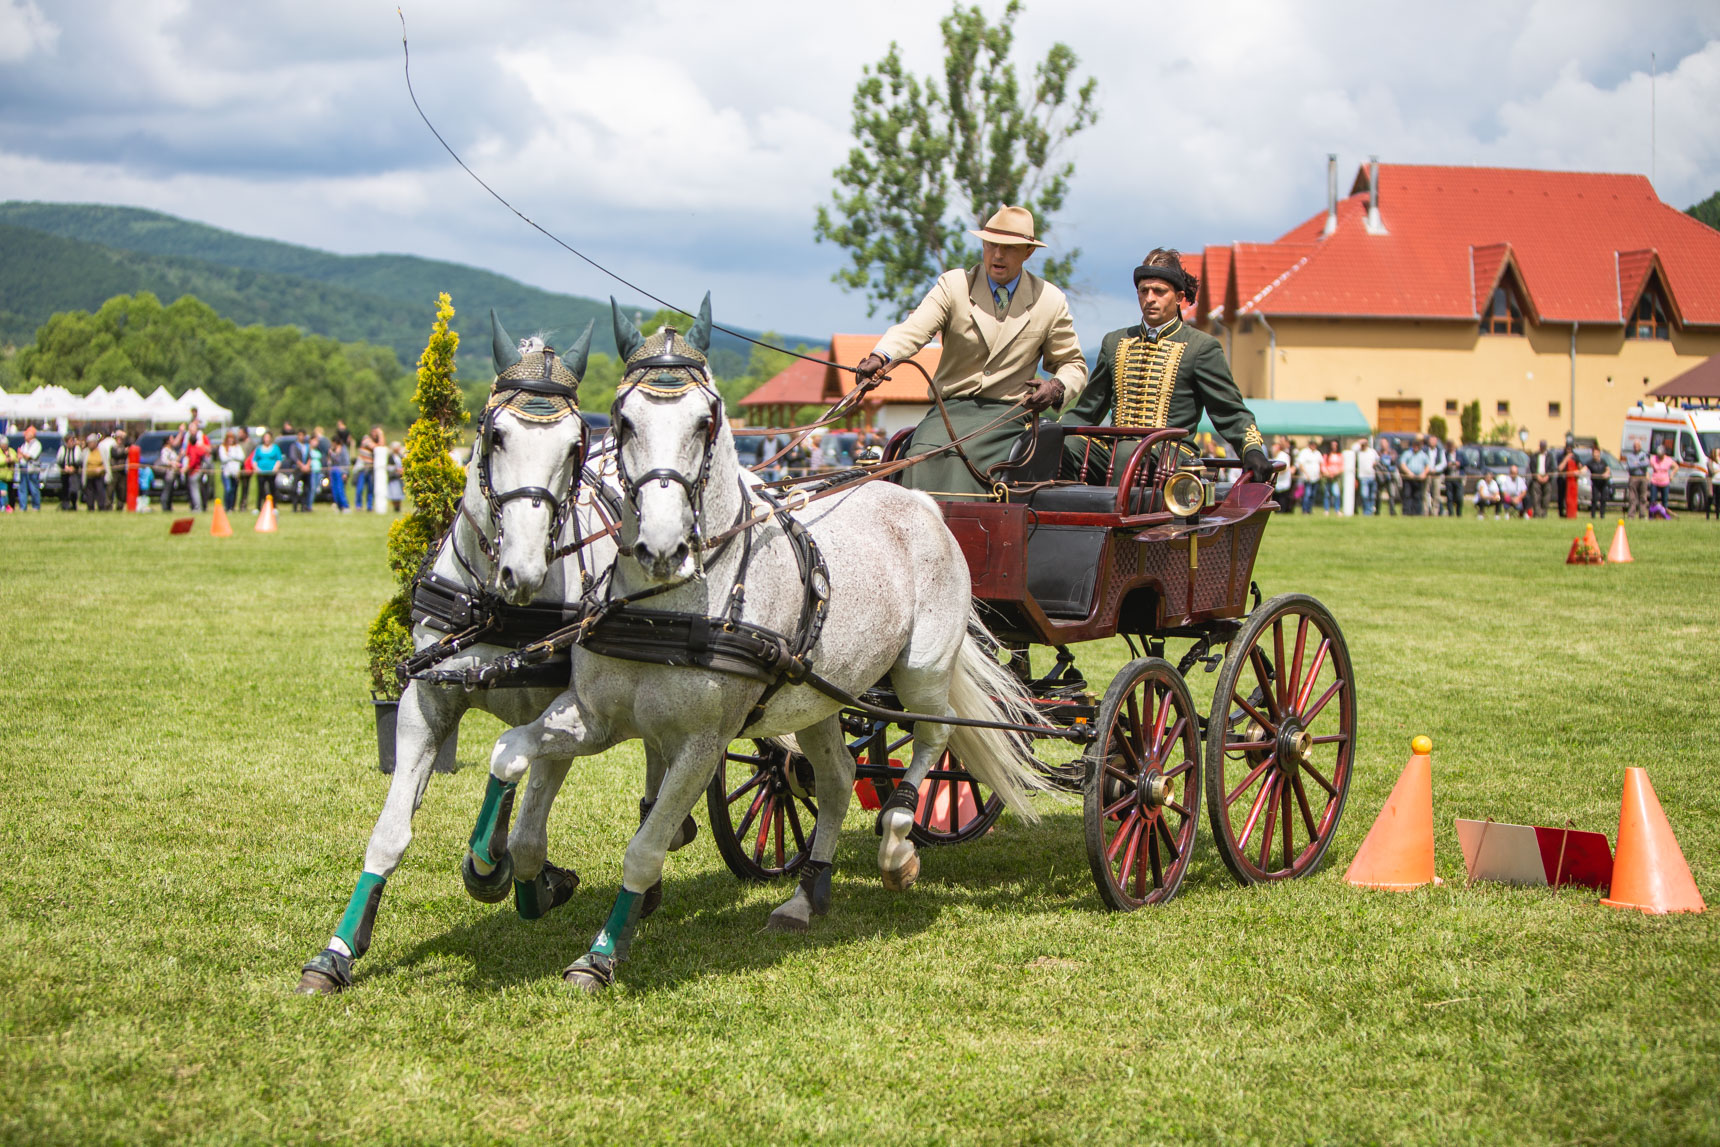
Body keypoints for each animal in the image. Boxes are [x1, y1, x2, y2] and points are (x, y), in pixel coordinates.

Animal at [485, 300, 1045, 990]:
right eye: (622, 419)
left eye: (706, 421)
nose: (662, 547)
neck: (670, 609)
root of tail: (921, 501)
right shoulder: (593, 717)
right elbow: (510, 753)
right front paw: (504, 873)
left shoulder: (702, 744)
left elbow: (645, 848)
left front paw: (601, 953)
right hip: (819, 697)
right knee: (837, 779)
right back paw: (807, 895)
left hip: (922, 670)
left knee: (933, 739)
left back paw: (897, 845)